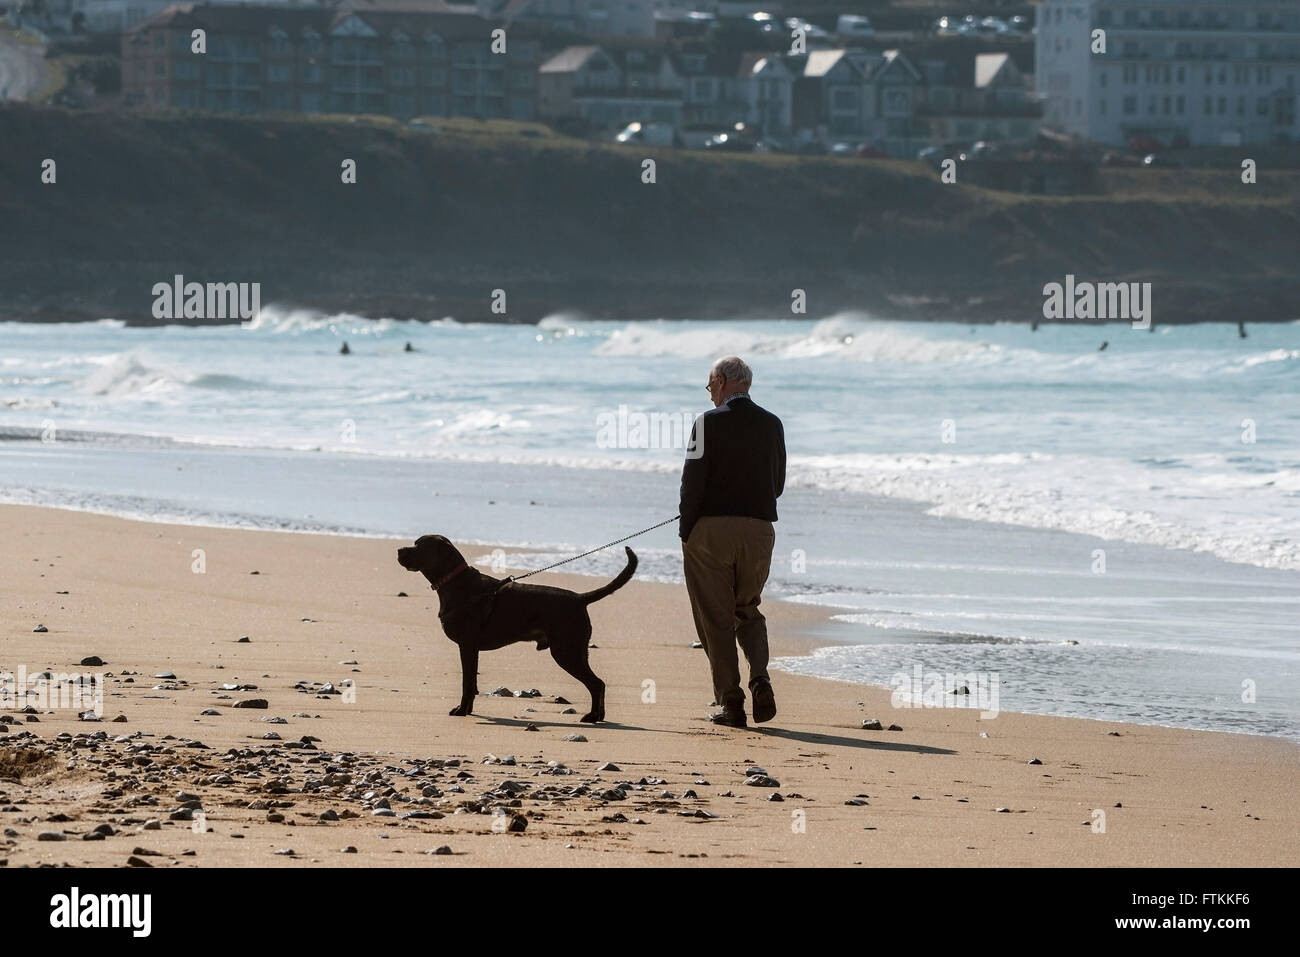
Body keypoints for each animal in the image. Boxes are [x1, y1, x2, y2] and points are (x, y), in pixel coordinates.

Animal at [397, 535, 637, 722]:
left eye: (419, 546)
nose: (399, 550)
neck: (456, 584)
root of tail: (579, 598)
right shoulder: (471, 649)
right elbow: (472, 682)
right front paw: (468, 710)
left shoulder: (467, 646)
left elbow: (467, 682)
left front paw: (462, 710)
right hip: (577, 651)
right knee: (599, 684)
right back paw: (598, 716)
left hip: (566, 652)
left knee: (596, 684)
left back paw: (593, 716)